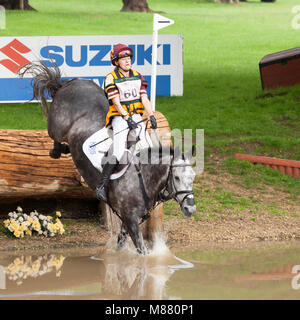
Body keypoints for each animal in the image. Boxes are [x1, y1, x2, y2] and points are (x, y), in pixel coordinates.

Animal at [19, 62, 196, 255]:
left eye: (193, 177)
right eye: (176, 177)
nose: (190, 208)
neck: (143, 177)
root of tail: (70, 83)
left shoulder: (128, 220)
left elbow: (121, 243)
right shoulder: (130, 219)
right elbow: (143, 252)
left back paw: (65, 149)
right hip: (56, 126)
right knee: (55, 137)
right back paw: (57, 150)